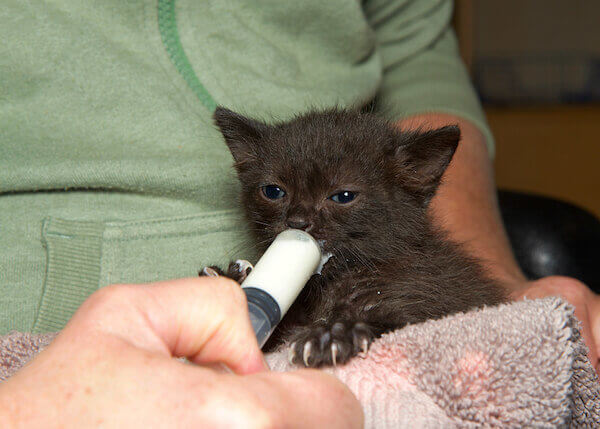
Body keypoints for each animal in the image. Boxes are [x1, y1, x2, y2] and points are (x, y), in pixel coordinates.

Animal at [205, 107, 506, 368]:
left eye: (343, 196)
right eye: (273, 191)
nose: (297, 222)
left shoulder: (431, 302)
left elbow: (397, 321)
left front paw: (331, 335)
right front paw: (227, 280)